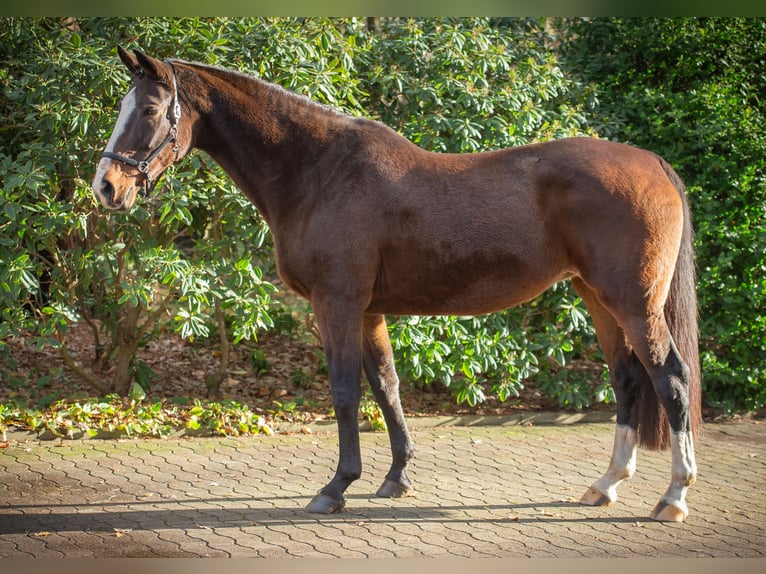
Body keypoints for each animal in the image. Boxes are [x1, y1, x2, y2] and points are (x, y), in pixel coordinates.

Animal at [90, 47, 704, 524]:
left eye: (149, 109)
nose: (106, 186)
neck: (318, 172)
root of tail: (653, 162)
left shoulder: (336, 304)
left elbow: (344, 391)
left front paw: (335, 487)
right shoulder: (369, 311)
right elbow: (387, 387)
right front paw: (396, 478)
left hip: (634, 304)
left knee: (671, 380)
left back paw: (673, 496)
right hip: (599, 300)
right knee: (628, 380)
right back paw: (605, 485)